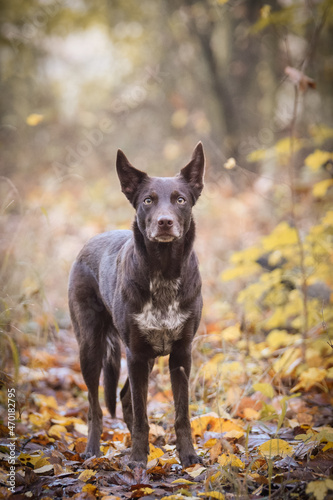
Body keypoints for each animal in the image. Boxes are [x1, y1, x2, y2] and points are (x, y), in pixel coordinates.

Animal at [68, 142, 205, 468]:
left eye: (180, 200)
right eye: (148, 200)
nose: (165, 222)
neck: (163, 272)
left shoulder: (180, 354)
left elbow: (181, 414)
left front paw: (188, 457)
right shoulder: (136, 354)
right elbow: (143, 415)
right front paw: (138, 461)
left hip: (145, 357)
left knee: (124, 397)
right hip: (91, 347)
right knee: (95, 406)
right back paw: (93, 451)